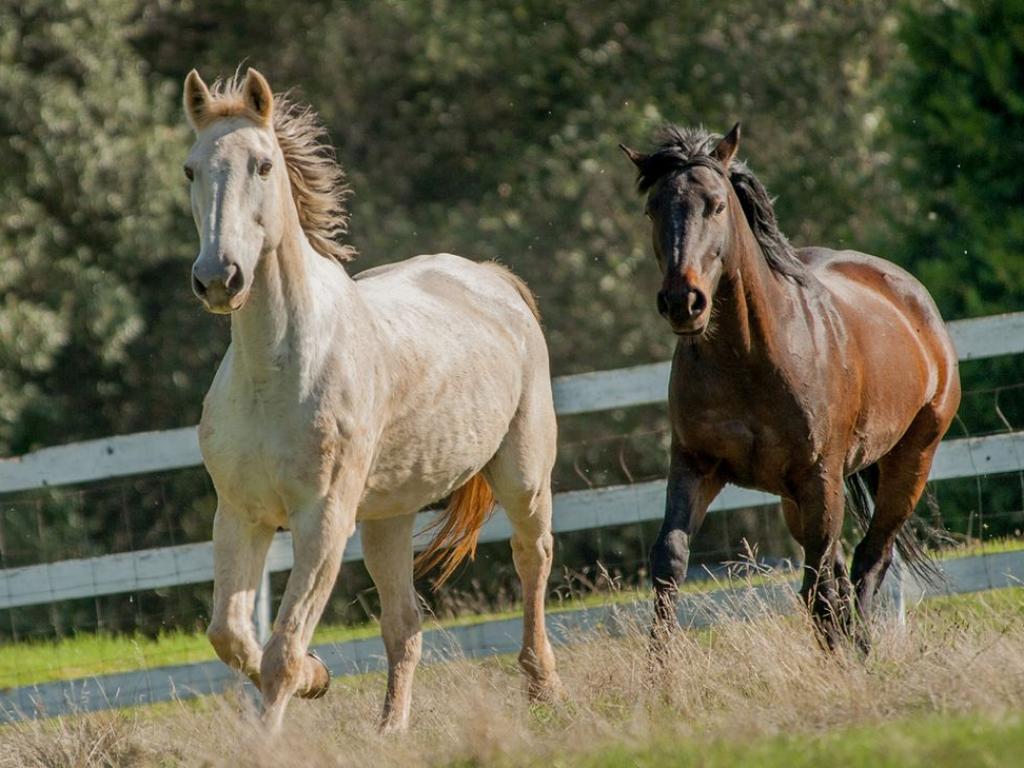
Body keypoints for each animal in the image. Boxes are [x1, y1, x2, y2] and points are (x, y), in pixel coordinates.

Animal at [188, 67, 565, 733]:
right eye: (190, 169)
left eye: (263, 165)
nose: (218, 279)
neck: (274, 374)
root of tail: (493, 279)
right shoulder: (241, 514)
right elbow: (231, 636)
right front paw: (318, 679)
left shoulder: (323, 522)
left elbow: (281, 650)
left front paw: (278, 721)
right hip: (388, 517)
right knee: (403, 626)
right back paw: (391, 729)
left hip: (522, 477)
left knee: (532, 559)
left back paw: (542, 687)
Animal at [618, 124, 962, 651]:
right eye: (653, 208)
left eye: (716, 205)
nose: (682, 301)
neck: (749, 359)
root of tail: (912, 296)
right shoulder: (695, 464)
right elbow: (669, 559)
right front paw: (660, 665)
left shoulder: (818, 476)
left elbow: (820, 583)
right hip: (797, 500)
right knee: (839, 571)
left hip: (909, 463)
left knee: (869, 559)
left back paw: (862, 649)